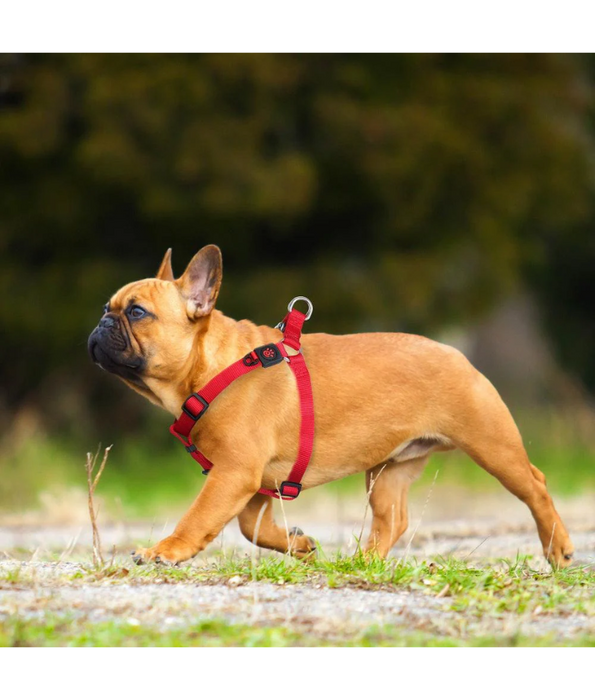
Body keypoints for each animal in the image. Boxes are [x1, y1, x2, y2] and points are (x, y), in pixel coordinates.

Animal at [87, 246, 572, 568]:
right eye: (108, 307)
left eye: (137, 312)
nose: (101, 322)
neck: (212, 367)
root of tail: (456, 352)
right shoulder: (252, 482)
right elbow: (252, 527)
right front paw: (299, 545)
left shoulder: (234, 474)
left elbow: (198, 517)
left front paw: (164, 551)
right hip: (388, 471)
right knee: (393, 519)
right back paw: (364, 561)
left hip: (492, 445)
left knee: (536, 485)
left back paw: (559, 548)